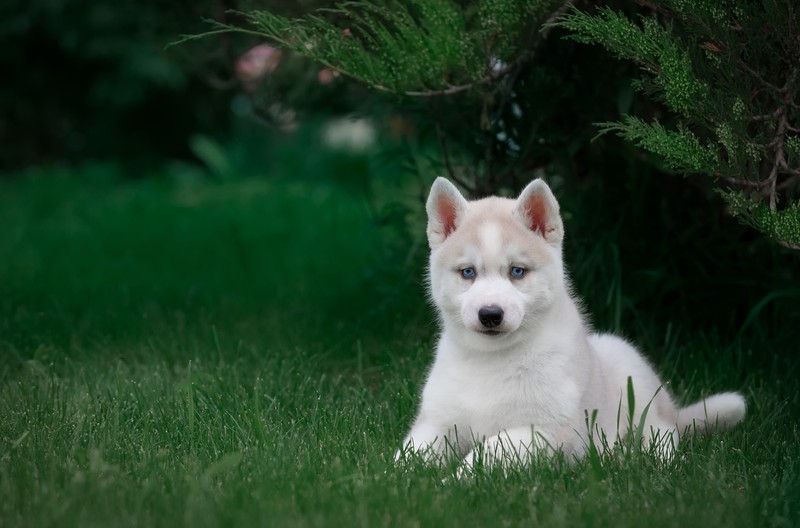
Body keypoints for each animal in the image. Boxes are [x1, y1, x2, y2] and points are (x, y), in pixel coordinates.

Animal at [396, 177, 748, 470]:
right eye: (468, 272)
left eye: (517, 271)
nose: (490, 313)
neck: (491, 361)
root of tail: (671, 409)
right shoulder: (437, 422)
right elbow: (408, 455)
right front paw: (394, 482)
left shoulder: (545, 430)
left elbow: (488, 450)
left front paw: (456, 480)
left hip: (630, 374)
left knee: (663, 436)